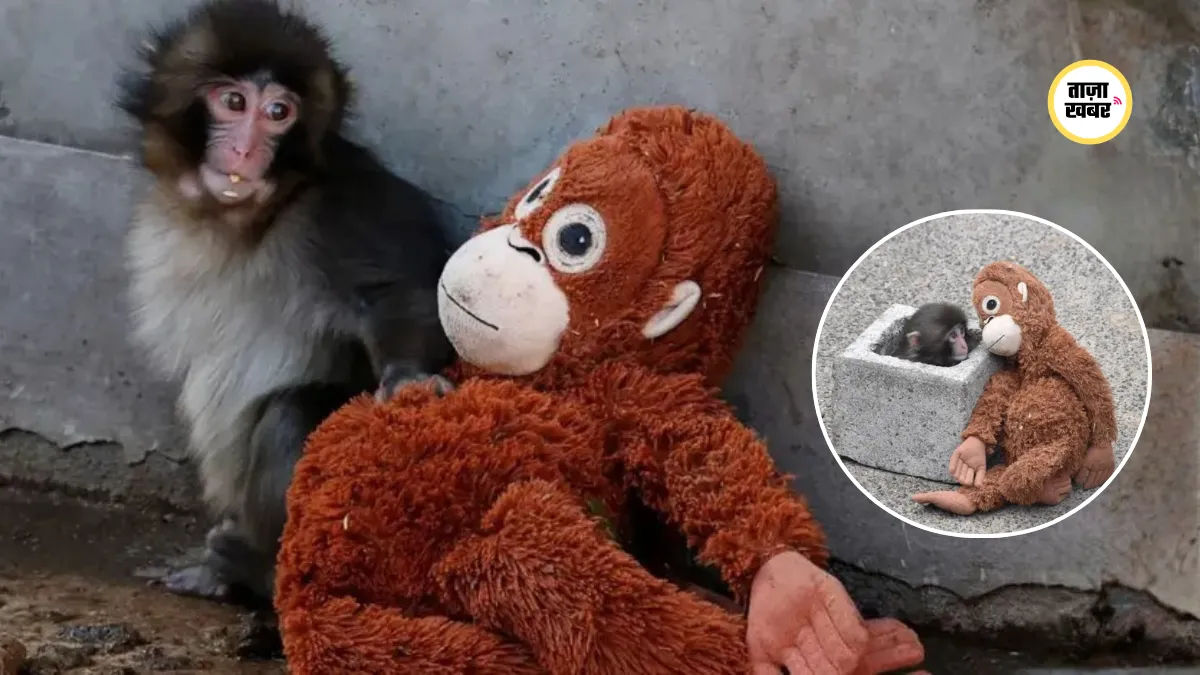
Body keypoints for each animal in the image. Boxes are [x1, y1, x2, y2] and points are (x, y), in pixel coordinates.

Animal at [116, 0, 455, 604]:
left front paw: (408, 377)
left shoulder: (342, 205)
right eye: (233, 103)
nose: (246, 149)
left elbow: (398, 293)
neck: (248, 219)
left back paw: (258, 570)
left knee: (290, 415)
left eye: (279, 112)